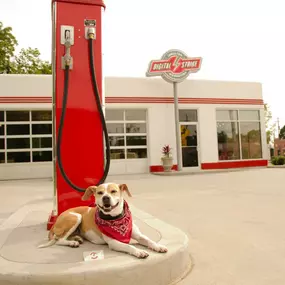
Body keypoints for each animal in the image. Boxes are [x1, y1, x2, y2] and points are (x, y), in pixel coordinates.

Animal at [37, 182, 166, 258]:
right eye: (100, 192)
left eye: (113, 191)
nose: (105, 198)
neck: (115, 218)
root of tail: (57, 219)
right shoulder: (114, 243)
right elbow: (129, 246)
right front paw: (139, 251)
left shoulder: (139, 235)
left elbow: (149, 240)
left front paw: (158, 247)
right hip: (76, 217)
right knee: (59, 240)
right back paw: (72, 242)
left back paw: (77, 238)